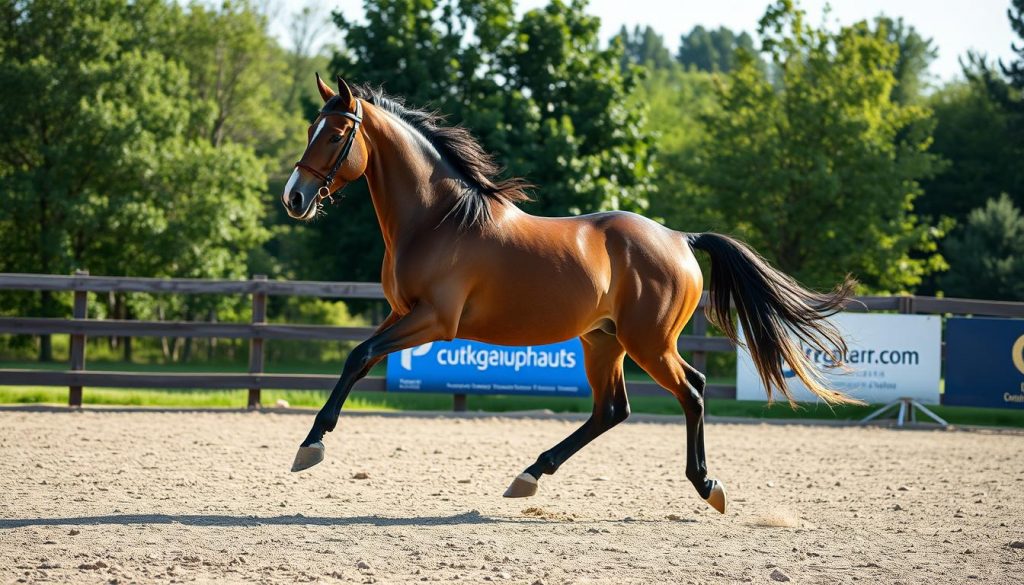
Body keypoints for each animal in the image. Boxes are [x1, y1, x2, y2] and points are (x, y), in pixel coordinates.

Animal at [281, 74, 859, 514]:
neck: (440, 220)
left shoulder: (434, 320)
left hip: (648, 343)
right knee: (612, 409)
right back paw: (530, 475)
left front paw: (311, 445)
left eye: (336, 134)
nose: (295, 198)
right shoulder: (402, 313)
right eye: (311, 129)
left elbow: (359, 355)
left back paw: (706, 486)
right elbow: (358, 358)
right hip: (604, 340)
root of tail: (680, 238)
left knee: (691, 391)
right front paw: (311, 442)